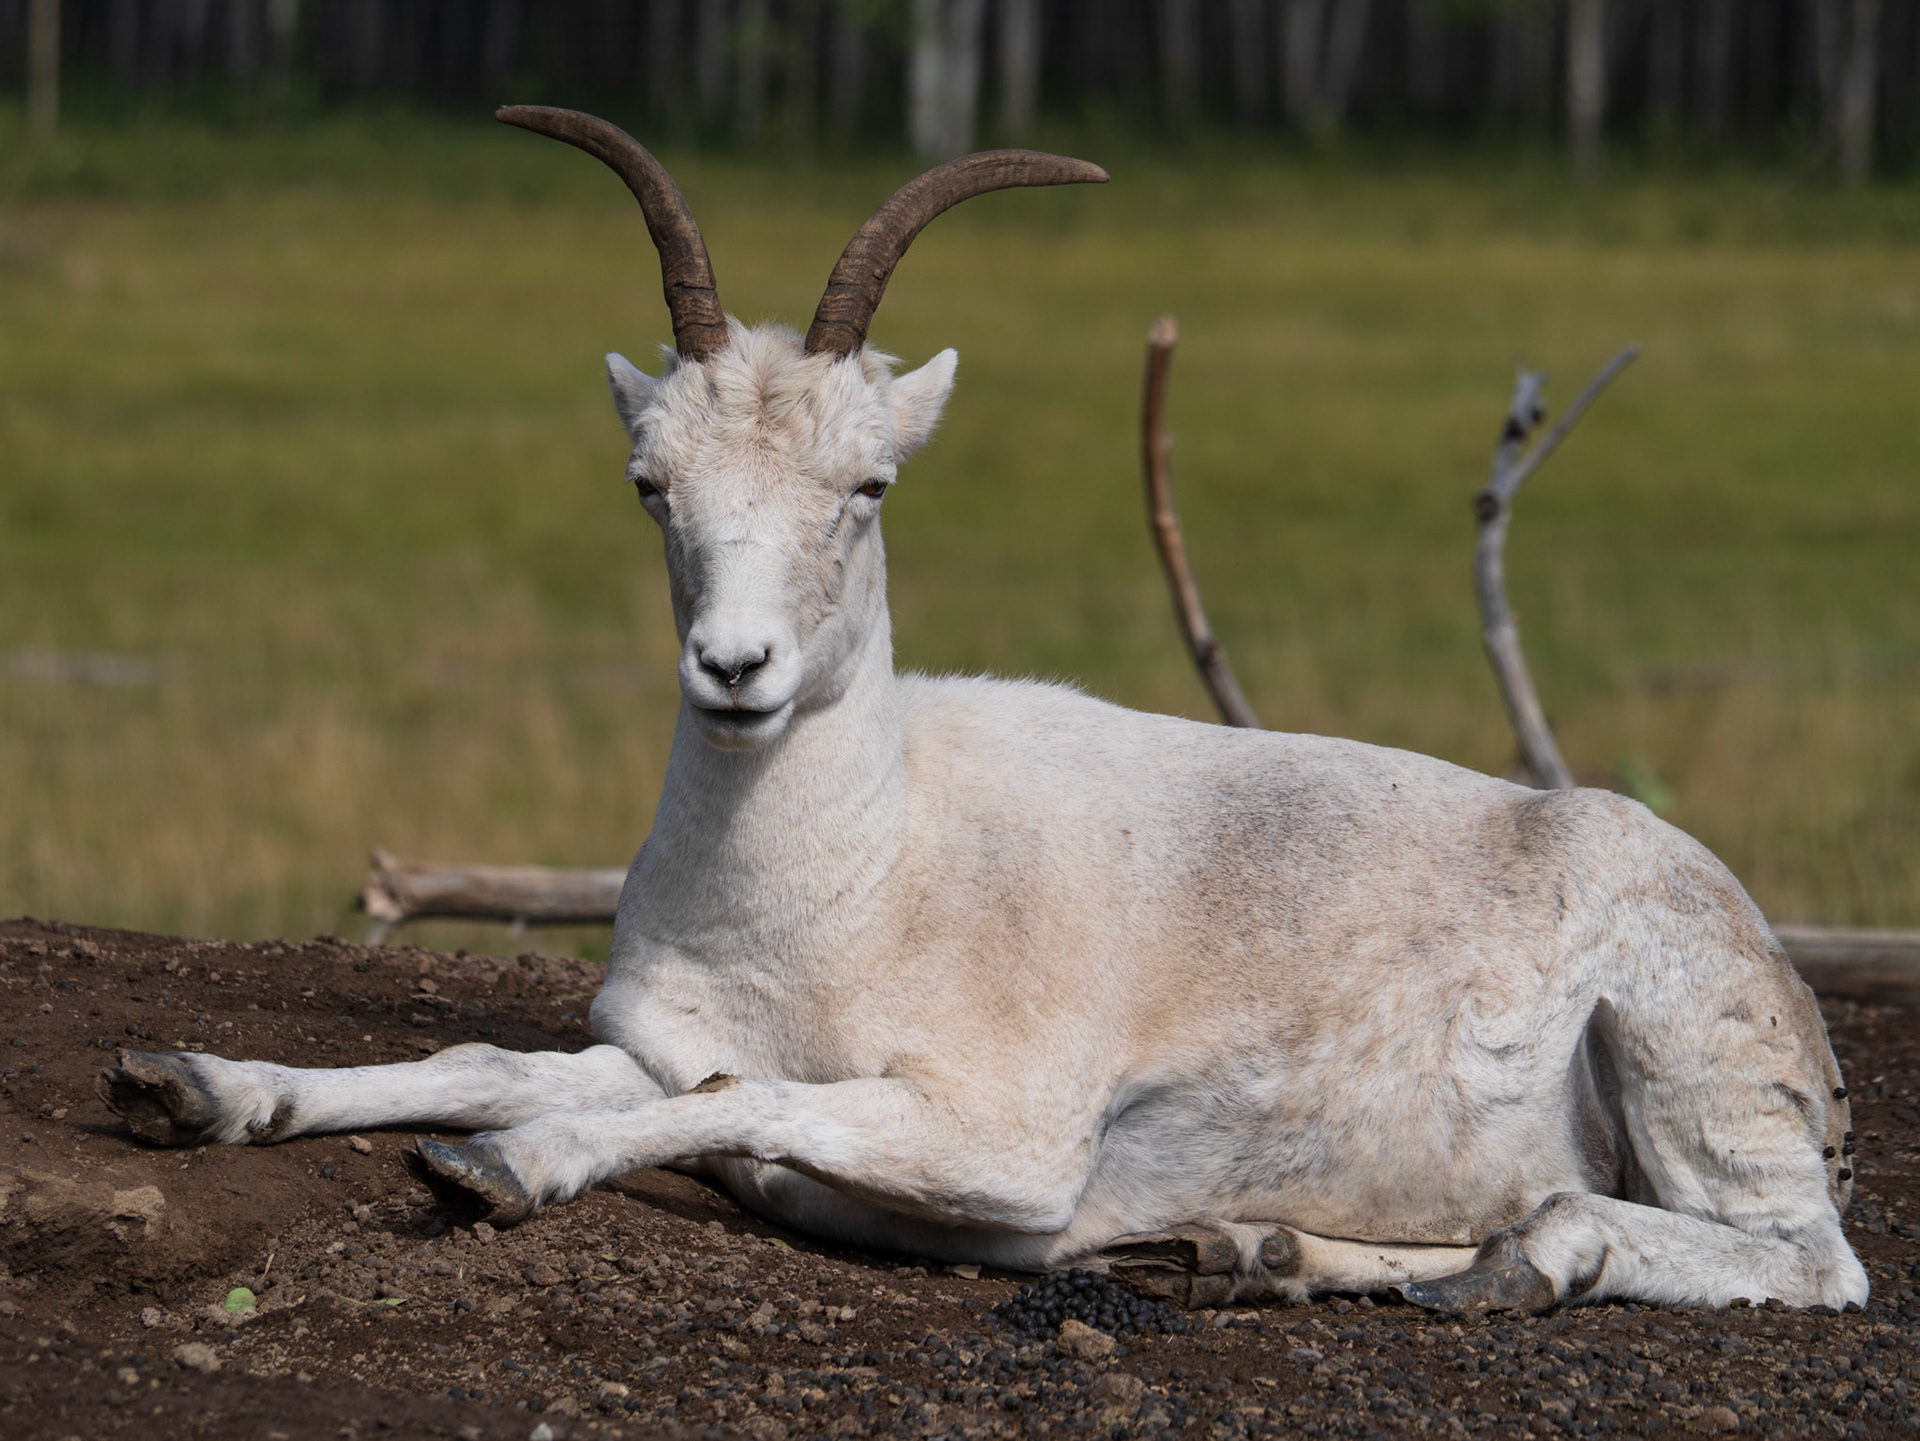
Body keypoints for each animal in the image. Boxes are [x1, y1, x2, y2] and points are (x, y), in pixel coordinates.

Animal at [102, 106, 1867, 1313]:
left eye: (868, 484)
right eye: (651, 481)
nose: (734, 670)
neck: (862, 878)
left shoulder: (1006, 1142)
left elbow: (731, 1110)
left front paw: (506, 1171)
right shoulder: (663, 1044)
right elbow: (510, 1056)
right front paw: (197, 1084)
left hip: (1692, 1076)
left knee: (1808, 1262)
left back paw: (1527, 1257)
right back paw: (1263, 1246)